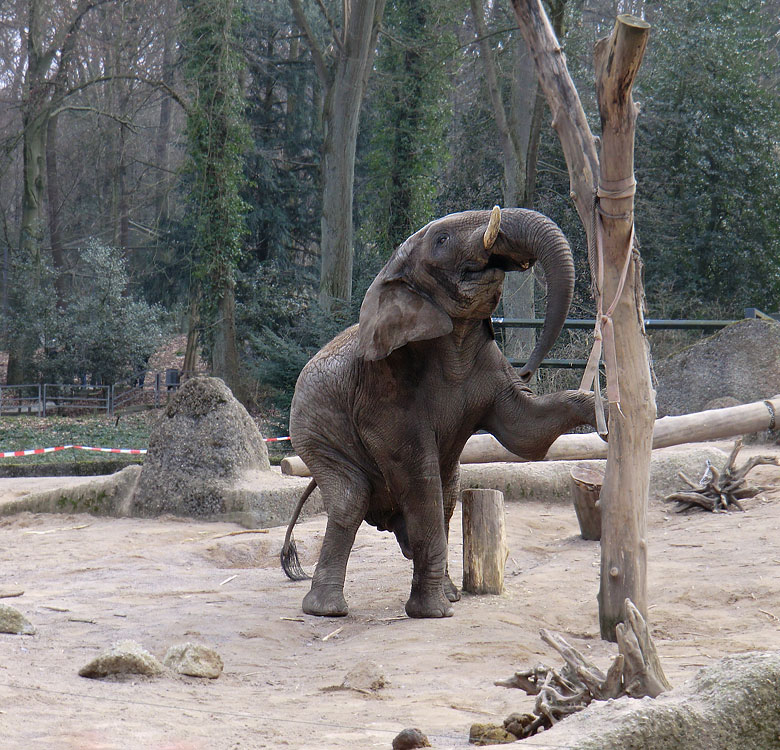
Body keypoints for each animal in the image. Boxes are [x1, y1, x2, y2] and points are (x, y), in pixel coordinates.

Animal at [282, 207, 596, 624]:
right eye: (442, 240)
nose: (527, 370)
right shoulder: (385, 384)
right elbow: (419, 473)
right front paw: (432, 613)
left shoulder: (489, 363)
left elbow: (524, 432)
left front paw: (607, 410)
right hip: (314, 434)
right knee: (352, 499)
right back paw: (328, 611)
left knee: (446, 496)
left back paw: (450, 593)